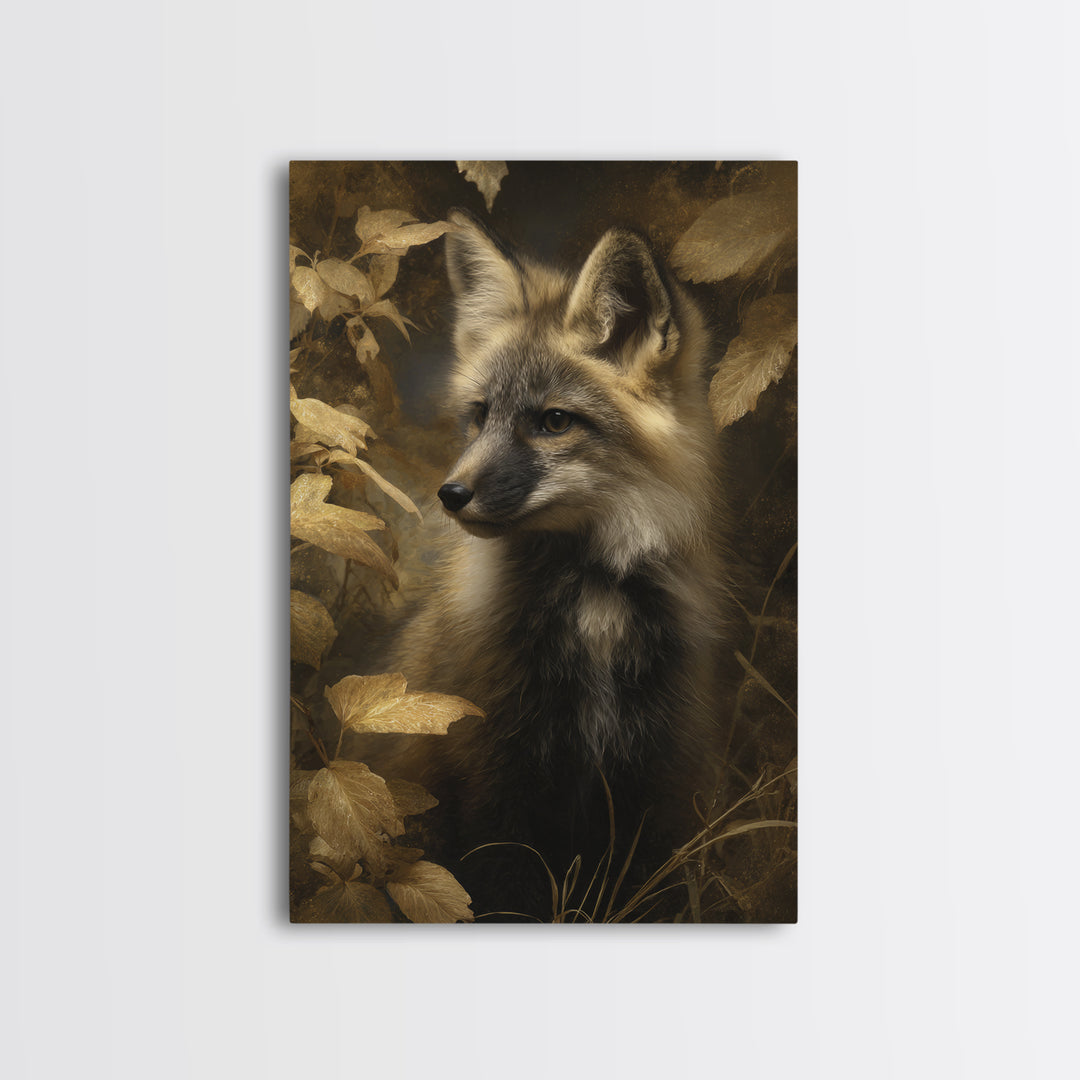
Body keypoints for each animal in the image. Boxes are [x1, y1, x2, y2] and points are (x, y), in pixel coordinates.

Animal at [389, 208, 732, 920]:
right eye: (480, 415)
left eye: (553, 421)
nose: (450, 493)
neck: (594, 603)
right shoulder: (492, 774)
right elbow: (499, 894)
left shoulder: (657, 775)